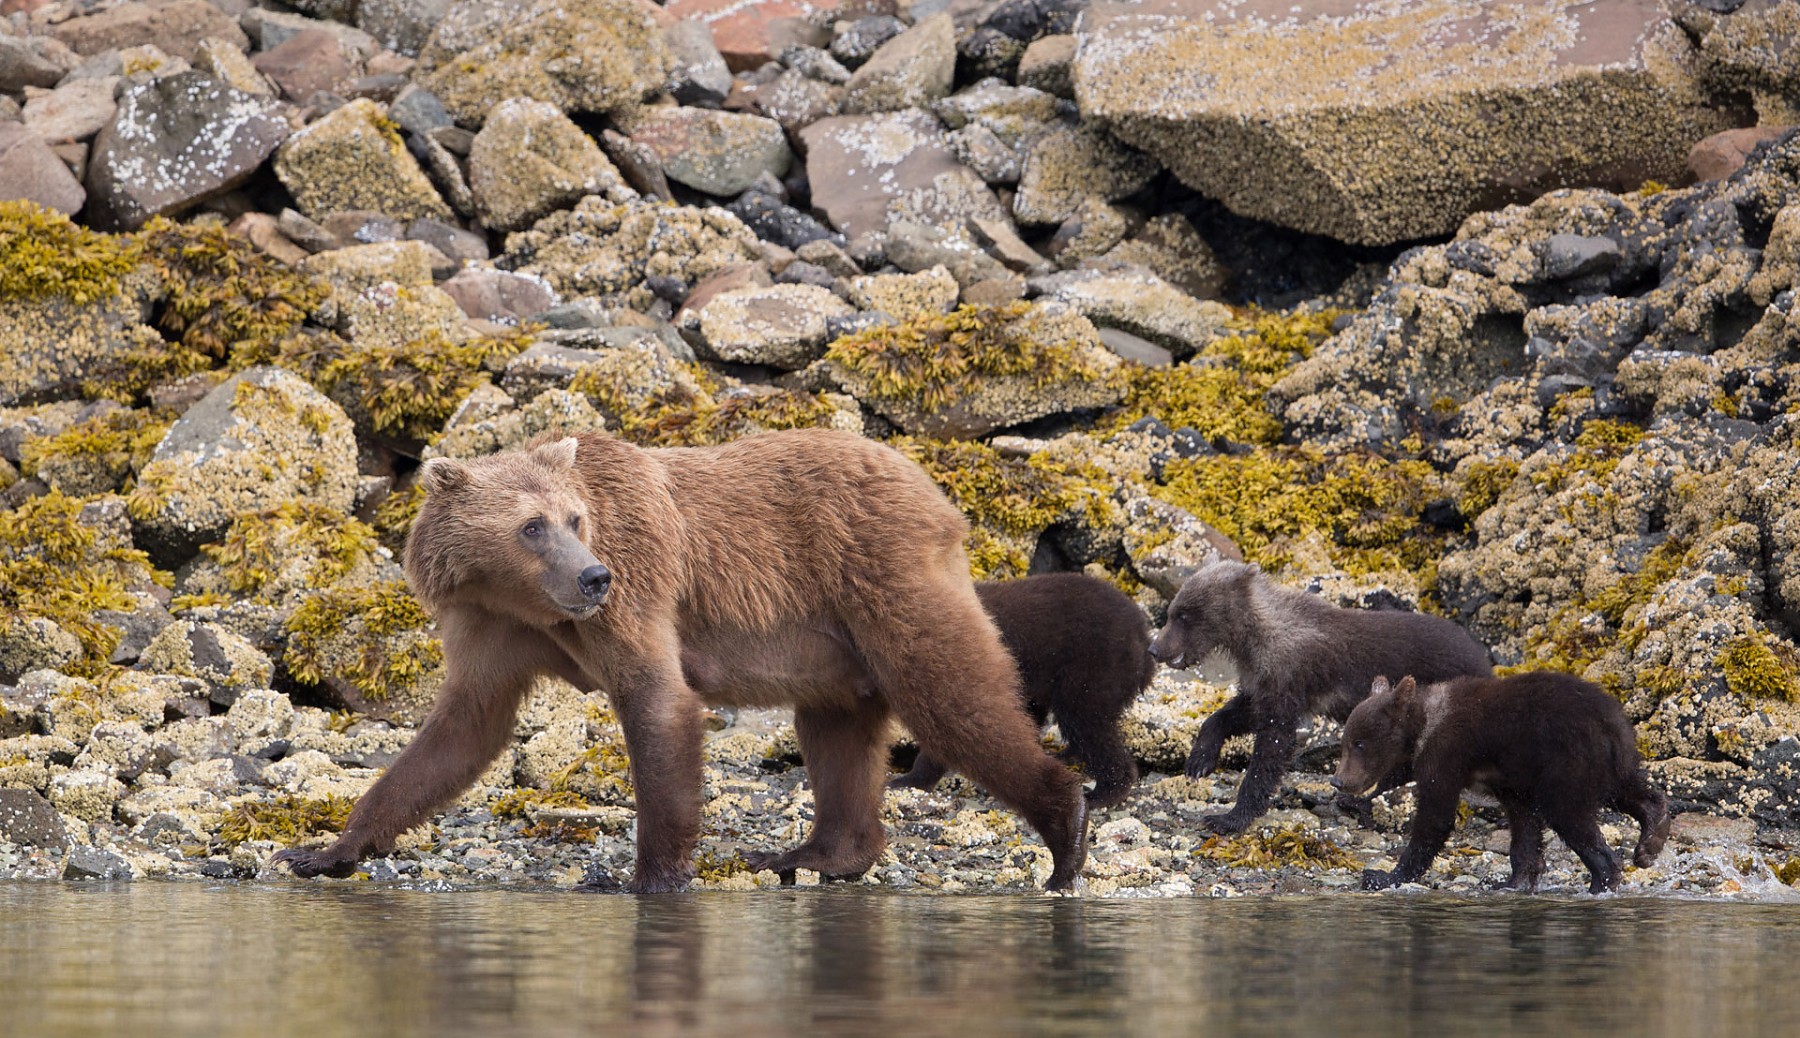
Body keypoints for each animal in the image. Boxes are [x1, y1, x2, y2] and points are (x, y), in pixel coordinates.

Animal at [266, 428, 1080, 892]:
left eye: (575, 519)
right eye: (532, 526)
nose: (593, 577)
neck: (525, 602)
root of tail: (933, 488)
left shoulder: (636, 588)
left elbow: (657, 704)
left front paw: (651, 877)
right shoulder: (492, 630)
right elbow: (459, 733)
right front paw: (325, 850)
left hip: (881, 575)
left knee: (948, 689)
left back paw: (1064, 827)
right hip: (828, 645)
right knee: (837, 732)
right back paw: (815, 854)